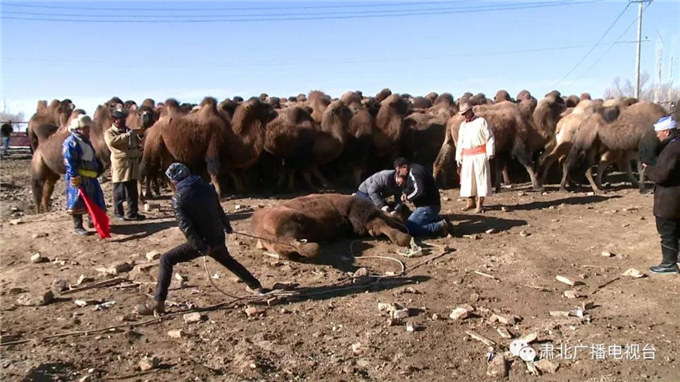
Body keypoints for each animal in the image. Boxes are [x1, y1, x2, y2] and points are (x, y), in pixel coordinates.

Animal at [252, 194, 412, 260]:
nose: (404, 226)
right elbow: (380, 224)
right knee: (292, 241)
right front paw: (402, 238)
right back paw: (313, 248)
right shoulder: (360, 216)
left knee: (289, 245)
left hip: (278, 239)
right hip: (291, 222)